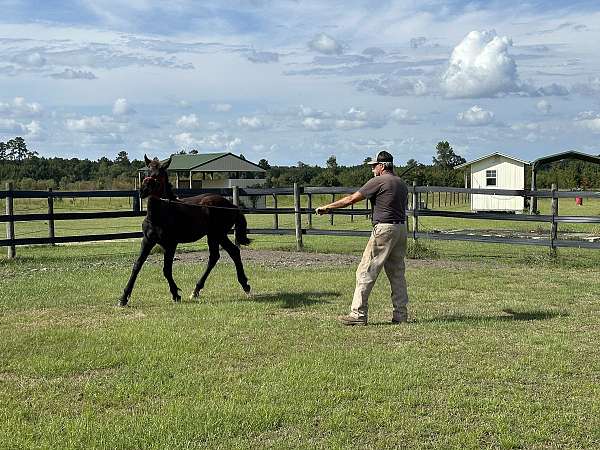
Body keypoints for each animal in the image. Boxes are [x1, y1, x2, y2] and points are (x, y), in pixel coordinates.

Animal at [119, 155, 251, 306]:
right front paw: (123, 298)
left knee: (230, 252)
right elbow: (137, 266)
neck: (159, 215)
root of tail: (231, 205)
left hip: (218, 234)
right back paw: (197, 290)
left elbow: (166, 270)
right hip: (213, 236)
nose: (143, 190)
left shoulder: (170, 244)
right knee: (218, 256)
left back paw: (244, 285)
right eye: (147, 172)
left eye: (159, 175)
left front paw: (175, 294)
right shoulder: (147, 241)